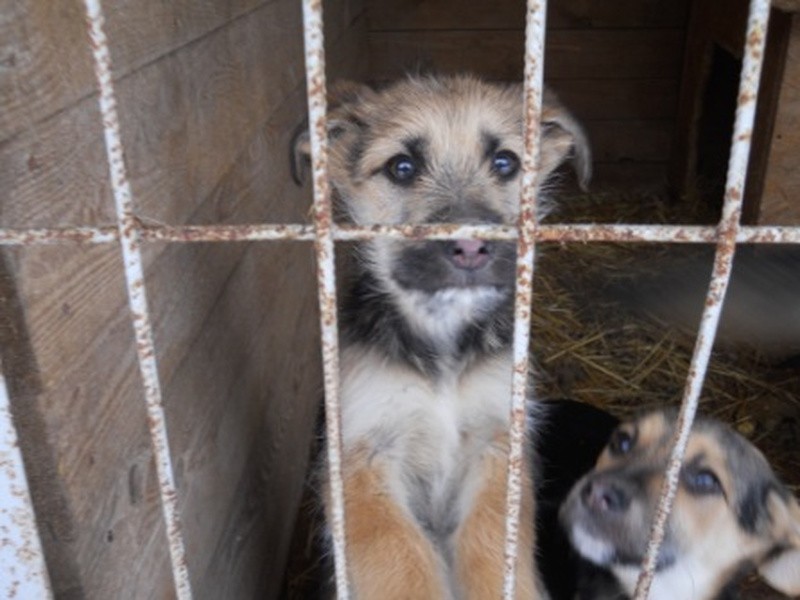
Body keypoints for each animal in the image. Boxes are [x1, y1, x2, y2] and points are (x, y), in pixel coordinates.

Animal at [292, 76, 588, 600]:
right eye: (402, 167)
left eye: (505, 162)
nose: (470, 246)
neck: (442, 348)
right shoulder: (360, 459)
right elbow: (399, 560)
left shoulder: (497, 442)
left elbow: (492, 545)